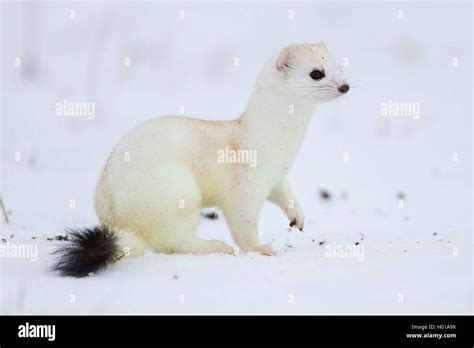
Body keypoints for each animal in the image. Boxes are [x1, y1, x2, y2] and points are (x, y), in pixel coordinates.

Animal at [52, 42, 348, 278]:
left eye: (340, 66)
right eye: (316, 73)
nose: (345, 86)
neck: (281, 144)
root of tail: (115, 219)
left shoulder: (276, 175)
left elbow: (285, 194)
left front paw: (297, 216)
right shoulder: (246, 183)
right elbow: (243, 223)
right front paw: (260, 248)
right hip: (177, 190)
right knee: (173, 241)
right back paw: (216, 246)